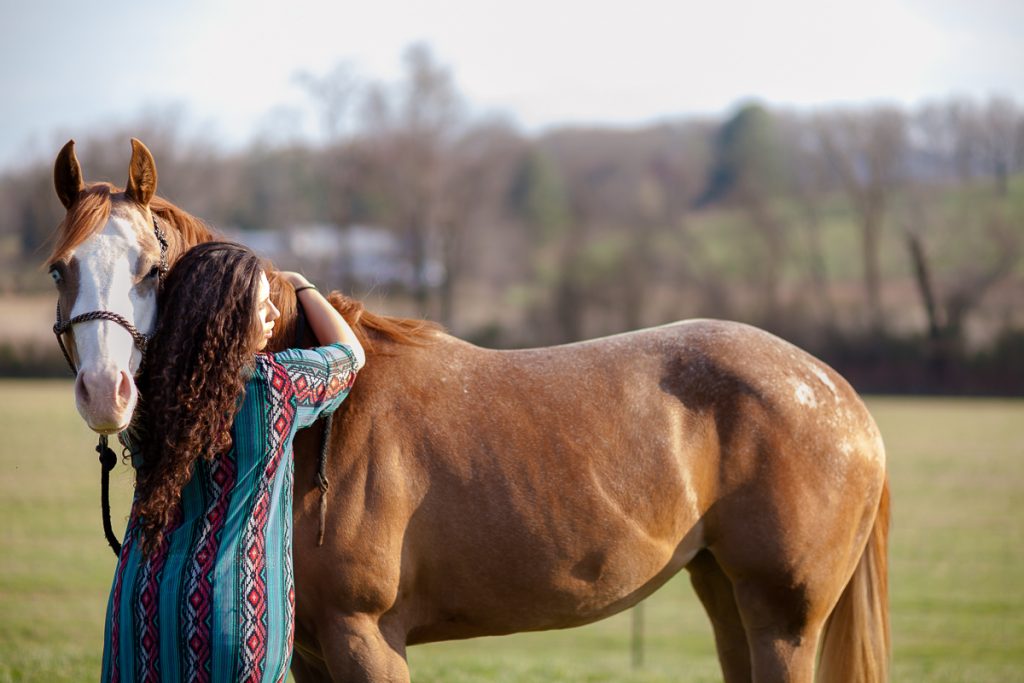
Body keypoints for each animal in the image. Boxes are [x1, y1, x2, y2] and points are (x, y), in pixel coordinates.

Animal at [48, 140, 888, 683]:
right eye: (61, 269)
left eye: (149, 268)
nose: (104, 390)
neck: (329, 428)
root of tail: (842, 398)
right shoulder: (316, 651)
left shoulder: (366, 638)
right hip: (726, 595)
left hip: (784, 620)